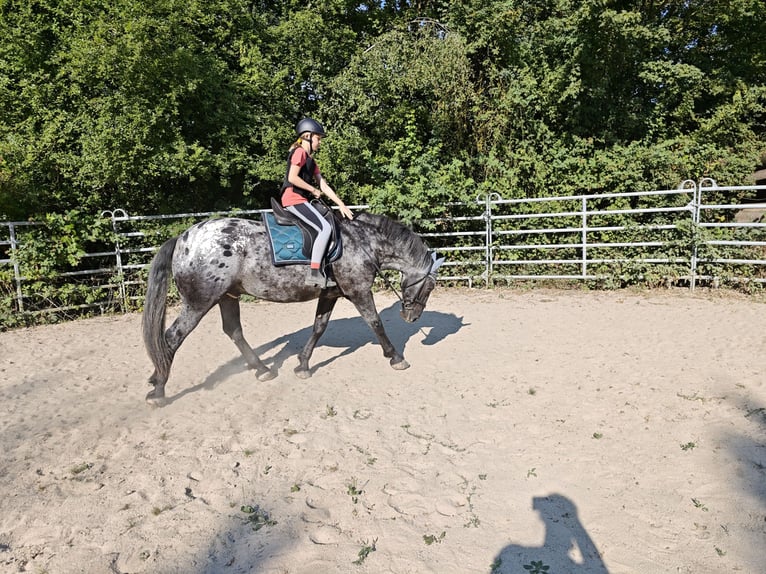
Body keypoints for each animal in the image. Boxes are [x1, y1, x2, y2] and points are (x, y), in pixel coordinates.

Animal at [142, 211, 445, 405]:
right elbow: (375, 323)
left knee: (233, 331)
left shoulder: (330, 294)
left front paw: (303, 364)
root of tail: (183, 239)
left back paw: (262, 369)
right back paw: (159, 389)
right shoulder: (358, 292)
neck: (362, 243)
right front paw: (396, 357)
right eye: (430, 286)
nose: (412, 316)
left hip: (228, 296)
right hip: (199, 302)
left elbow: (319, 327)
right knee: (172, 338)